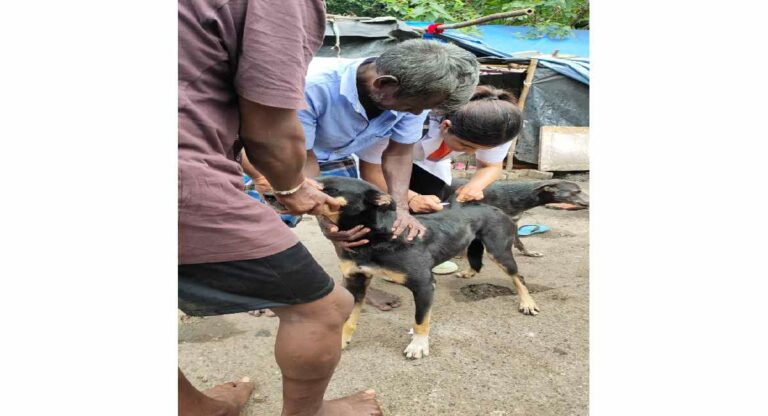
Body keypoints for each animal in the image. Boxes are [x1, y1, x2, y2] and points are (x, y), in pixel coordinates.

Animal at [308, 176, 536, 358]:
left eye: (328, 189)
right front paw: (340, 342)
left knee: (519, 278)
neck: (376, 237)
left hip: (499, 252)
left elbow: (420, 320)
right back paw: (469, 272)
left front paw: (418, 345)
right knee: (477, 261)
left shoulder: (424, 285)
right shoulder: (355, 280)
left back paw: (527, 303)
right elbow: (348, 317)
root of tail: (496, 209)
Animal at [450, 180, 588, 258]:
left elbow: (519, 242)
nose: (589, 202)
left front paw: (529, 253)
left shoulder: (513, 222)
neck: (515, 196)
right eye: (577, 191)